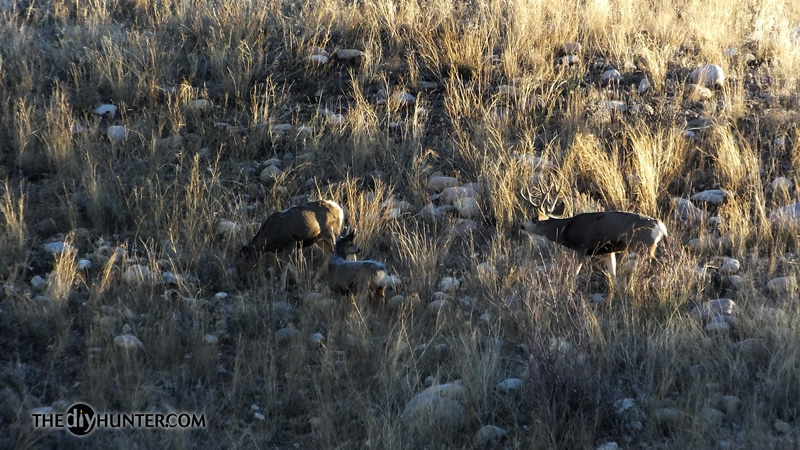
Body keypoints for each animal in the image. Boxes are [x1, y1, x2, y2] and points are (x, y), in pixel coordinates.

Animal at [520, 178, 668, 280]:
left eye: (534, 220)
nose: (522, 226)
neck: (566, 228)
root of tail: (660, 226)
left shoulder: (581, 247)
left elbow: (574, 273)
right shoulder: (607, 251)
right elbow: (613, 276)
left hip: (643, 245)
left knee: (659, 264)